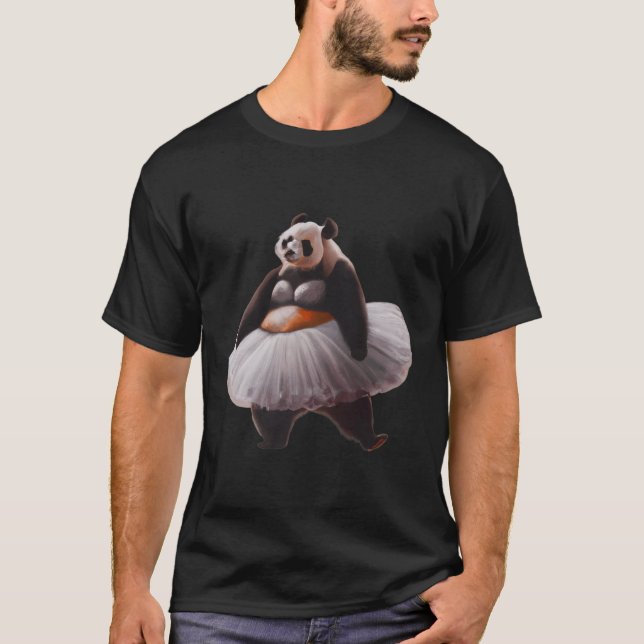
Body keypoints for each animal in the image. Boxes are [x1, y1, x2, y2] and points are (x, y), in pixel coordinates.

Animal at [227, 212, 412, 451]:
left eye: (305, 244)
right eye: (288, 239)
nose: (288, 249)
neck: (304, 269)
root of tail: (312, 404)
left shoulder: (339, 270)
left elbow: (351, 309)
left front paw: (359, 353)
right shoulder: (275, 275)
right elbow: (253, 310)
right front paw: (238, 349)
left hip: (341, 383)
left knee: (354, 410)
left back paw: (372, 440)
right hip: (269, 384)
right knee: (269, 413)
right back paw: (271, 442)